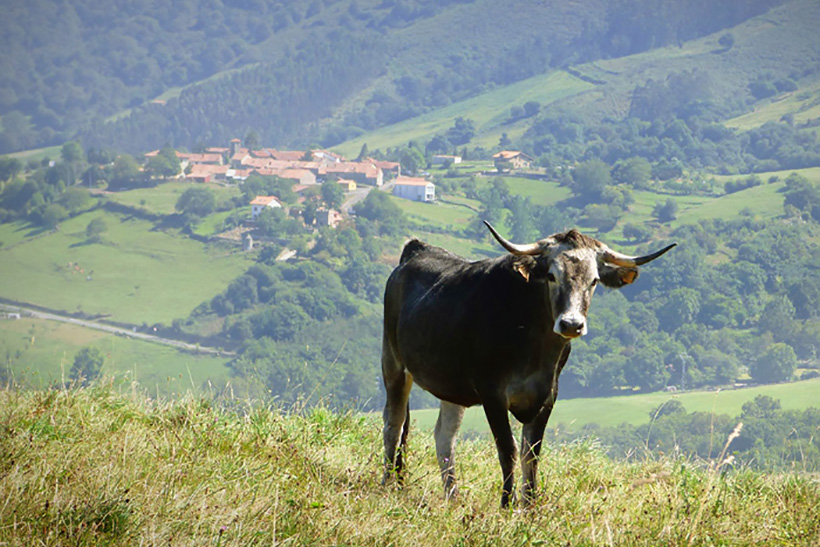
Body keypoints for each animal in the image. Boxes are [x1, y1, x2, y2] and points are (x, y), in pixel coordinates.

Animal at [381, 221, 675, 507]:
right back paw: (389, 486)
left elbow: (531, 454)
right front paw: (507, 504)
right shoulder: (492, 393)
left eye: (593, 281)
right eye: (552, 276)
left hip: (452, 386)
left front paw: (531, 506)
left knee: (444, 437)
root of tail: (416, 249)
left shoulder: (548, 395)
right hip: (393, 364)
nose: (571, 324)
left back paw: (453, 498)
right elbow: (507, 449)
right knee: (394, 425)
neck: (535, 351)